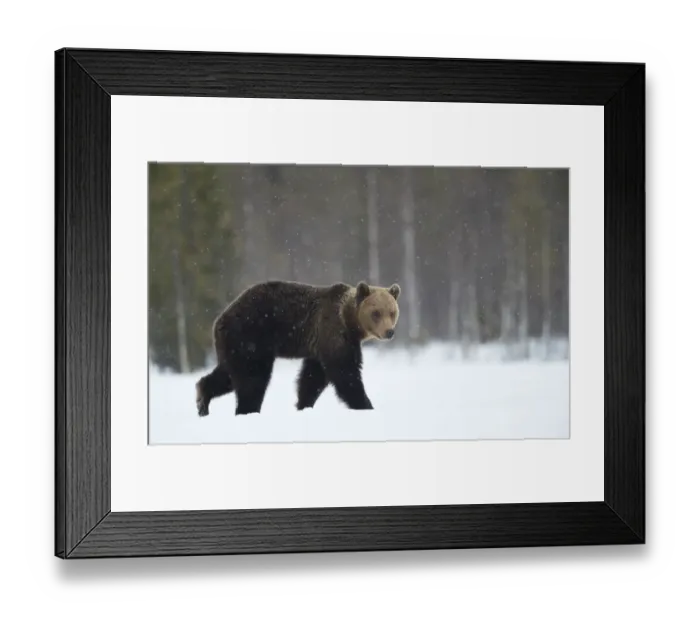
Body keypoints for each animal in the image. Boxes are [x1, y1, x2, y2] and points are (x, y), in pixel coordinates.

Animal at [195, 279, 401, 416]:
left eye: (392, 312)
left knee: (228, 374)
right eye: (376, 313)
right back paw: (247, 410)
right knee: (252, 377)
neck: (349, 322)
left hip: (234, 345)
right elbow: (345, 372)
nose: (389, 332)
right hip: (250, 336)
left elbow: (312, 377)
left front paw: (303, 404)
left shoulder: (319, 345)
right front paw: (365, 404)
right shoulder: (333, 332)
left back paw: (202, 399)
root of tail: (220, 320)